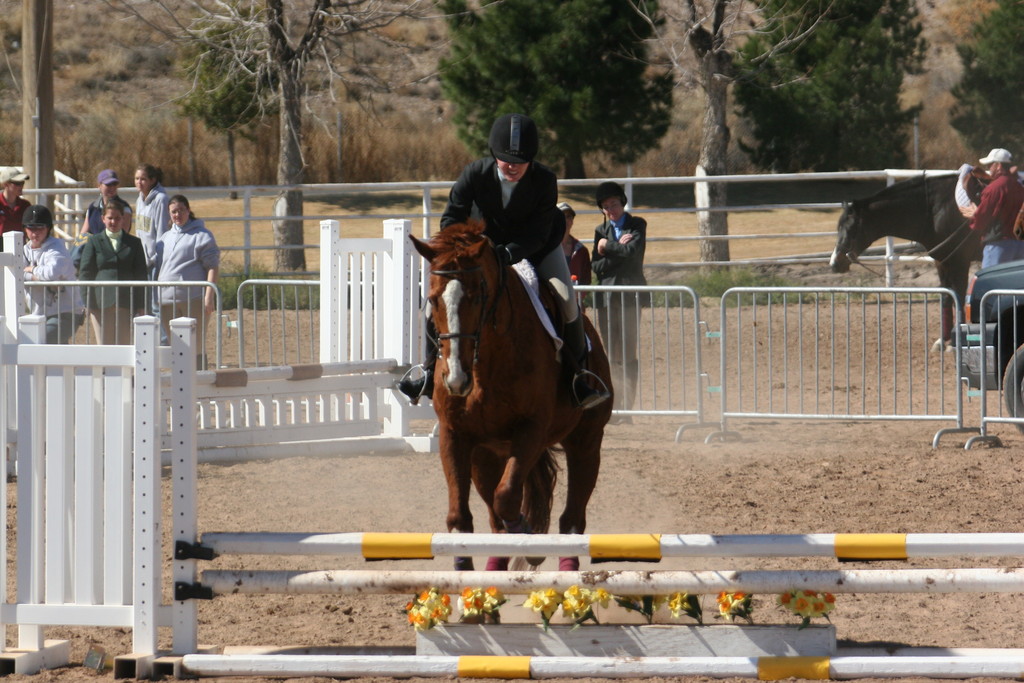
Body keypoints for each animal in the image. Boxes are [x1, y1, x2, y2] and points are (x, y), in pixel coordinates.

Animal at [411, 220, 610, 573]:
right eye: (432, 301)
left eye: (477, 297)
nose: (456, 379)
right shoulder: (454, 434)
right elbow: (460, 516)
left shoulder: (531, 431)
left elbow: (506, 498)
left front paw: (530, 545)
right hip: (486, 454)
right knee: (494, 518)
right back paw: (494, 568)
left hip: (585, 442)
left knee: (571, 518)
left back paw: (566, 568)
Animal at [827, 175, 978, 348]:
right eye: (839, 228)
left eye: (852, 228)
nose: (834, 263)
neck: (937, 210)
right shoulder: (942, 262)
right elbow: (947, 296)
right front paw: (942, 340)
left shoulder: (960, 261)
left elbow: (958, 297)